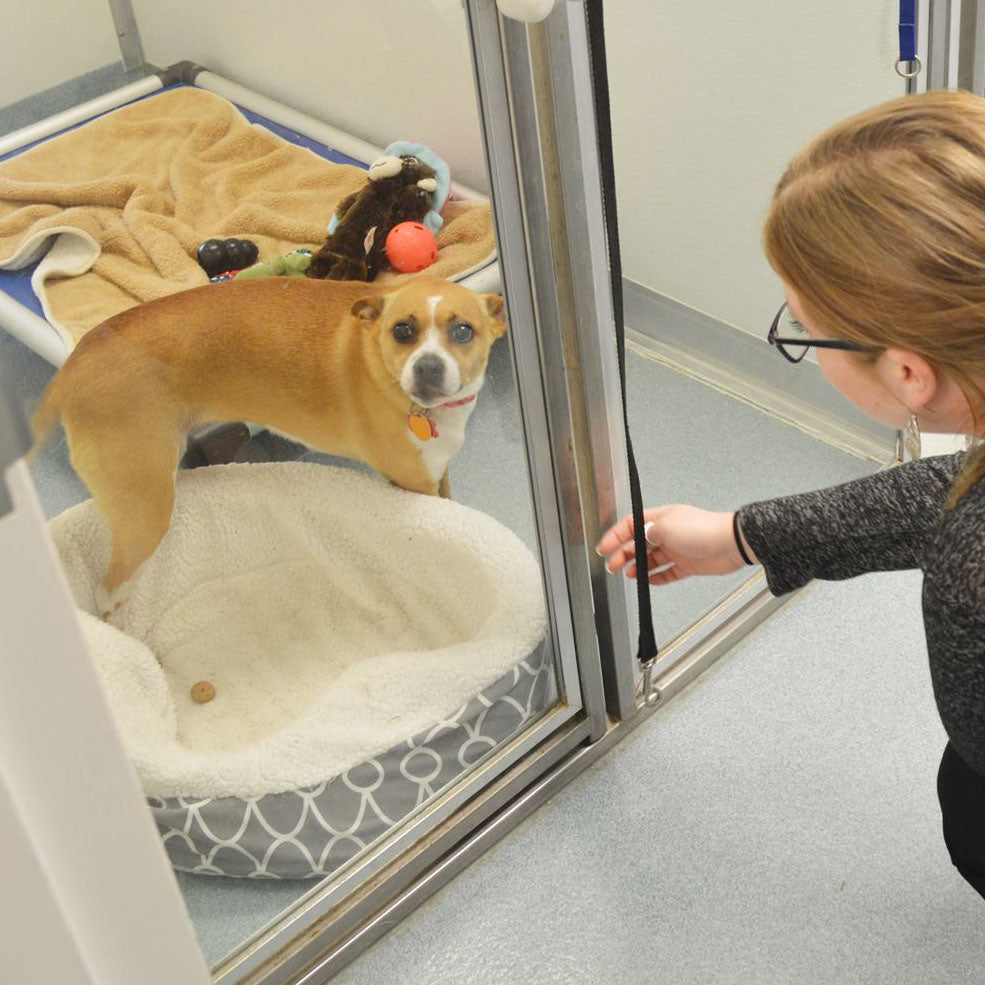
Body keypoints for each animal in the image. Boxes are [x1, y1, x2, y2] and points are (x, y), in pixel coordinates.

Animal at [33, 272, 504, 620]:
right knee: (107, 590)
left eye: (464, 331)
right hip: (145, 510)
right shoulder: (413, 482)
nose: (427, 368)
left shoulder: (437, 470)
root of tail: (72, 367)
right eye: (402, 330)